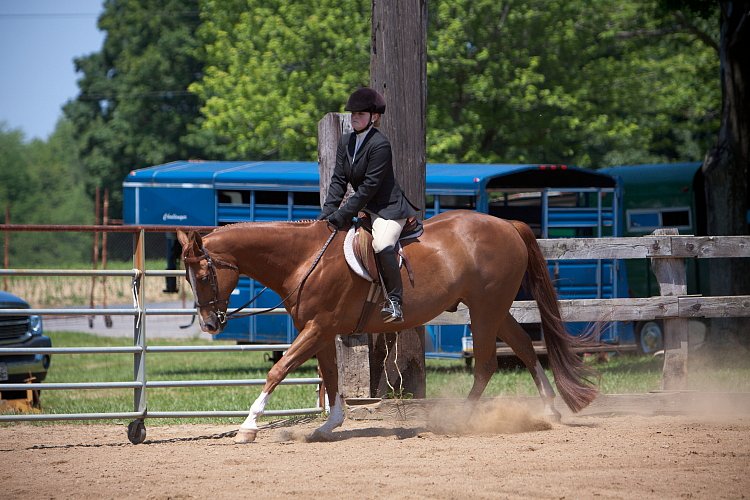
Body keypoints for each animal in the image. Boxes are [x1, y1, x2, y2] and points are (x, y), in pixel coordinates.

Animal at [178, 209, 600, 444]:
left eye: (204, 274)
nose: (211, 323)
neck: (304, 258)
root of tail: (507, 225)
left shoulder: (318, 327)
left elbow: (278, 370)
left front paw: (248, 427)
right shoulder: (321, 332)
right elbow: (331, 377)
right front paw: (330, 425)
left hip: (485, 309)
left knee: (486, 364)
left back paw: (459, 420)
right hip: (493, 309)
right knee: (525, 348)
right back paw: (549, 410)